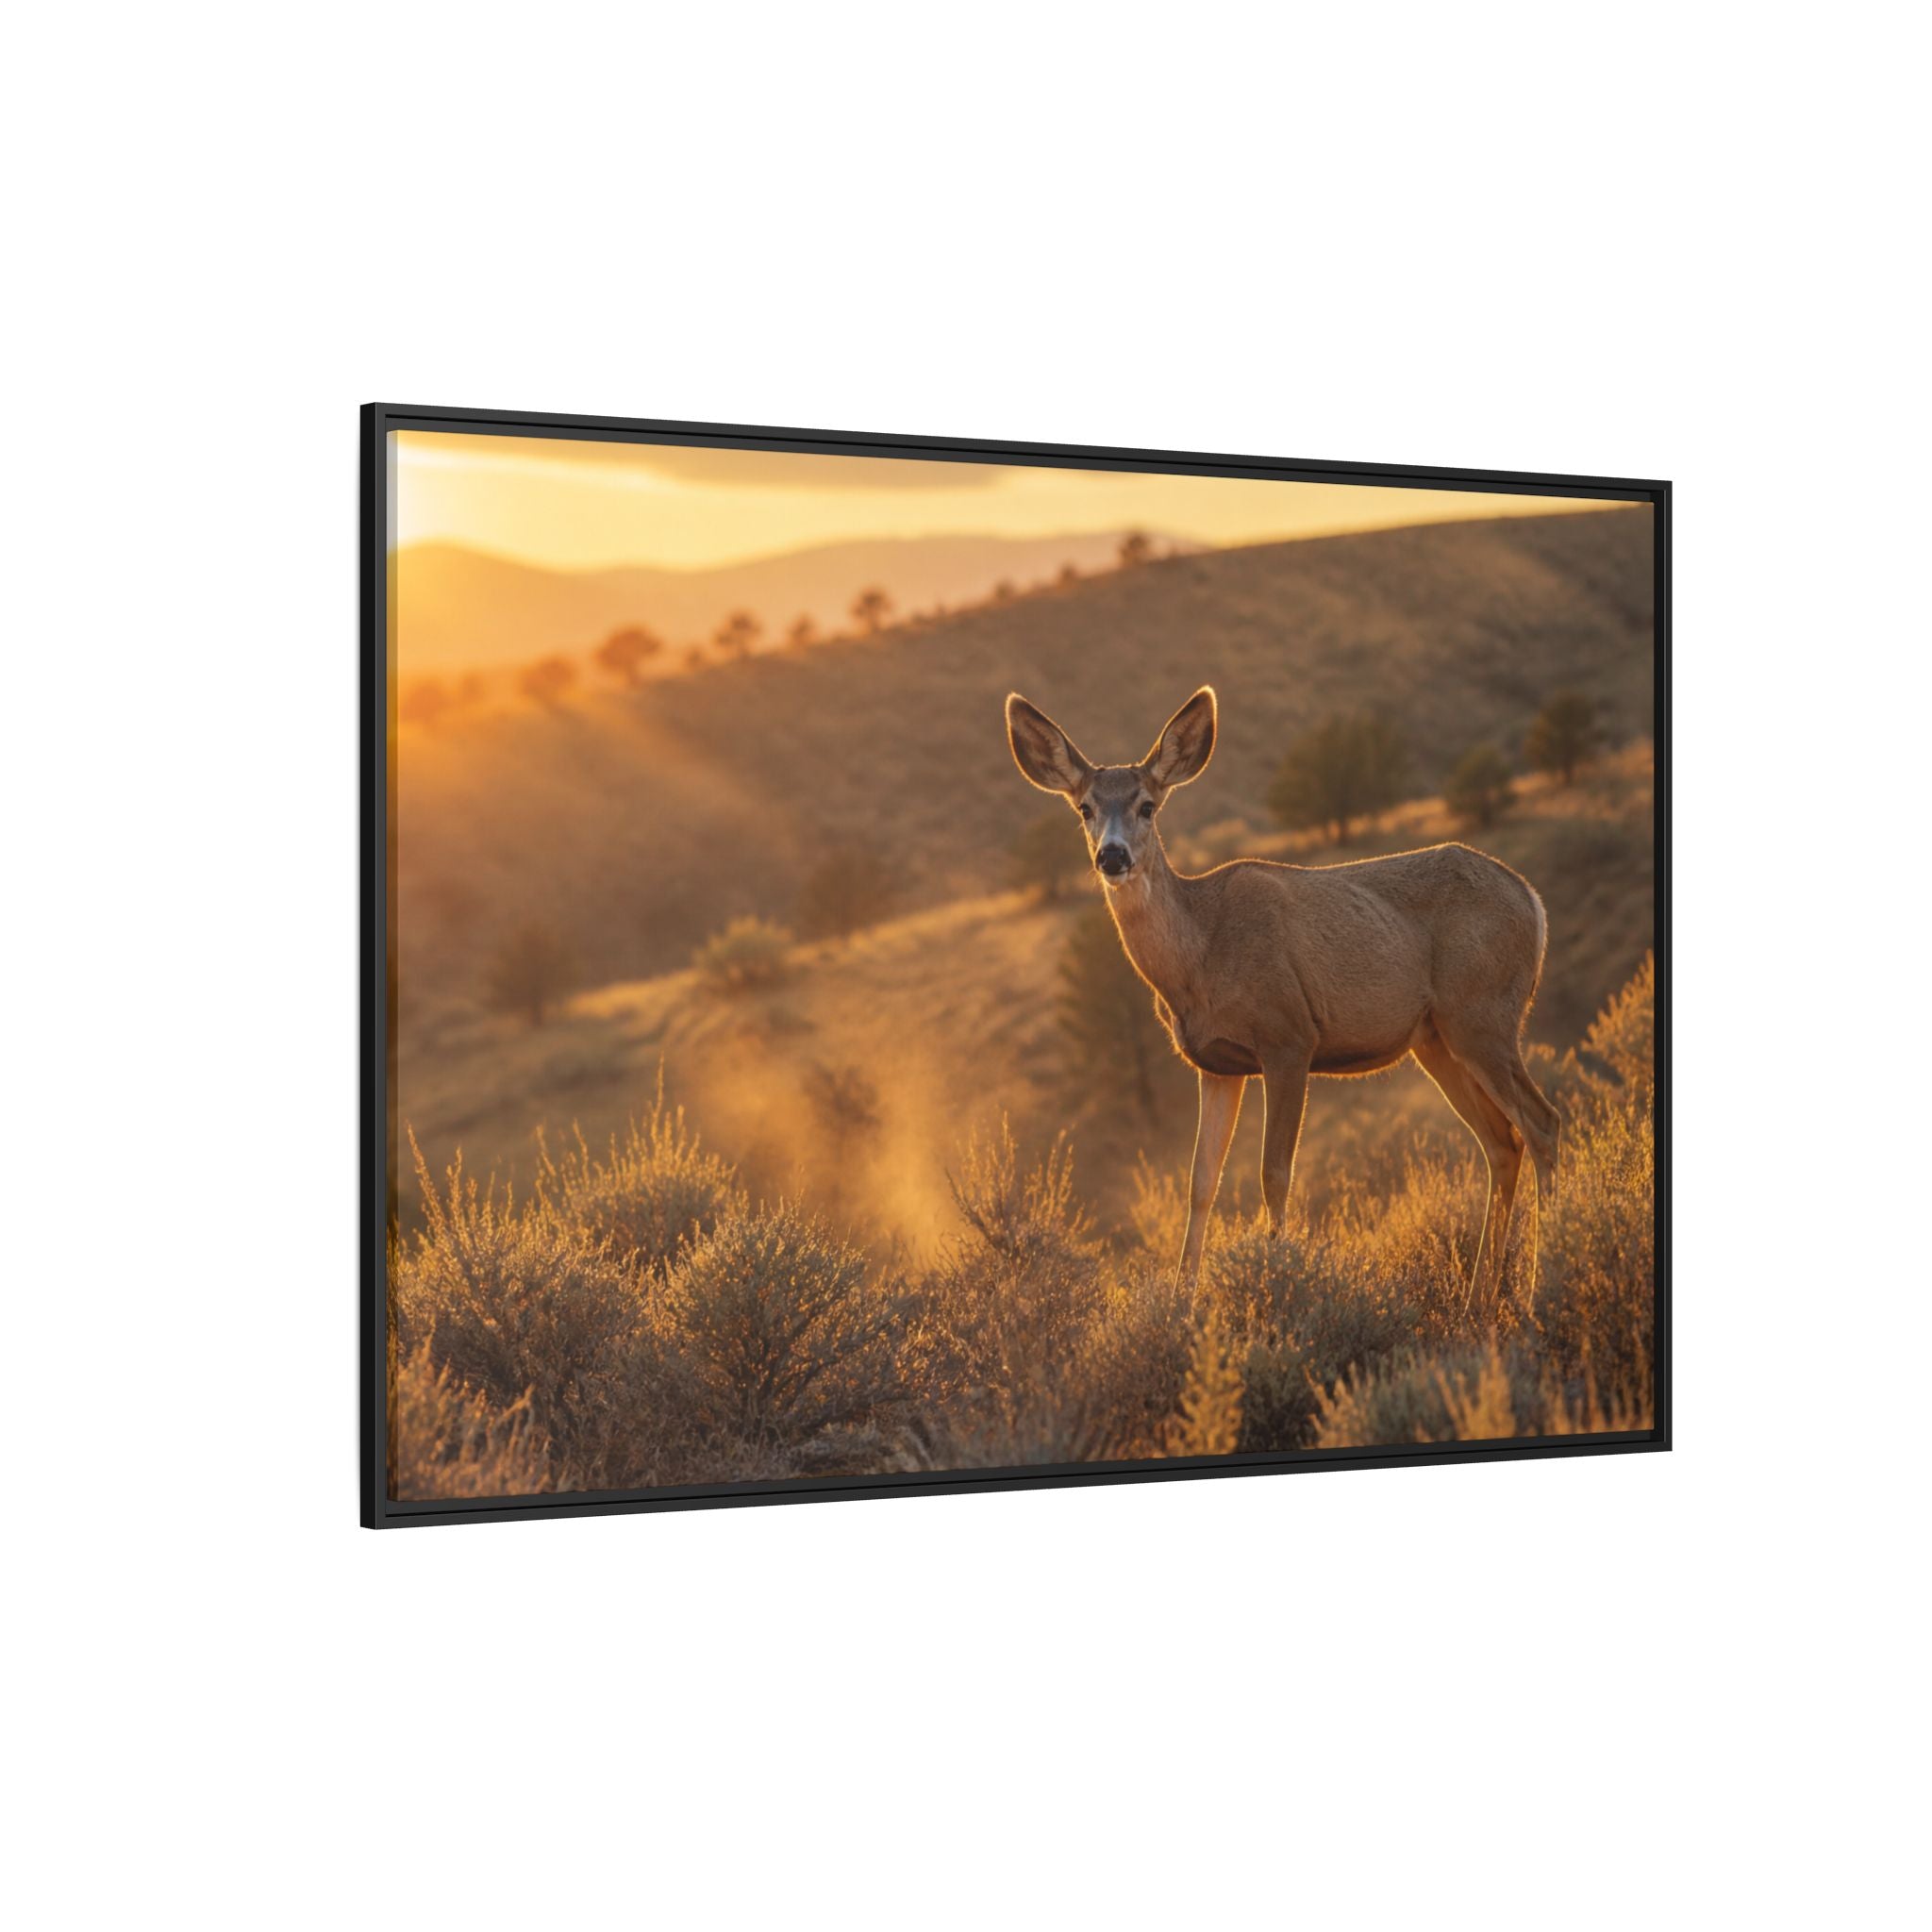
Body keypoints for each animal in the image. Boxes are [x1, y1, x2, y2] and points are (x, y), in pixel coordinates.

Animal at [1005, 685, 1560, 1301]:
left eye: (1148, 805)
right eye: (1085, 809)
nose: (1113, 855)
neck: (1200, 958)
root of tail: (1533, 903)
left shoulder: (1289, 1036)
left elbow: (1274, 1173)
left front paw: (1276, 1278)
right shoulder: (1216, 1066)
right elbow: (1201, 1182)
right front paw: (1182, 1300)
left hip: (1483, 1014)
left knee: (1543, 1124)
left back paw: (1541, 1287)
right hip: (1437, 1039)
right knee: (1501, 1143)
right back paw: (1477, 1297)